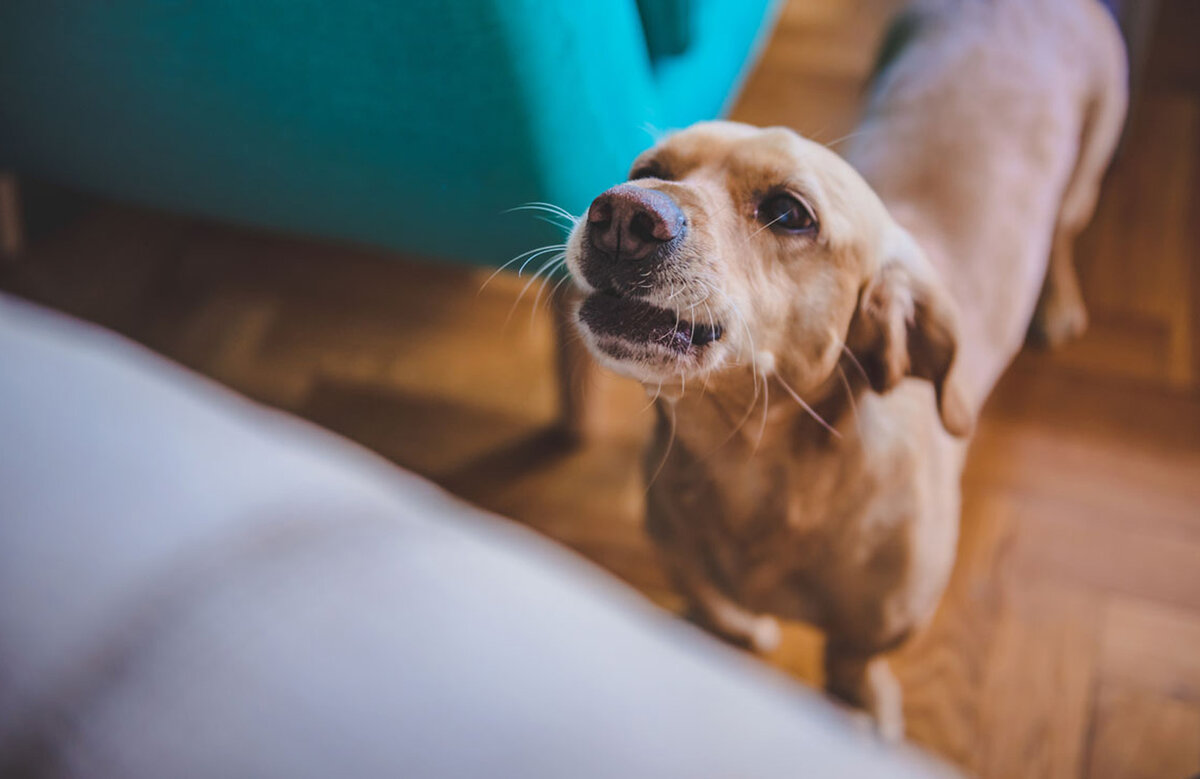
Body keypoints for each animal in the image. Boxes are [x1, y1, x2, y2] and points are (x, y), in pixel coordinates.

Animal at [561, 0, 1123, 739]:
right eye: (648, 165)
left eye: (788, 212)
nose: (623, 213)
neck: (750, 465)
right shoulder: (685, 564)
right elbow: (716, 609)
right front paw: (735, 633)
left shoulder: (879, 630)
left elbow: (854, 665)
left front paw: (866, 712)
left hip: (1088, 171)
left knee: (1063, 230)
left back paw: (1056, 303)